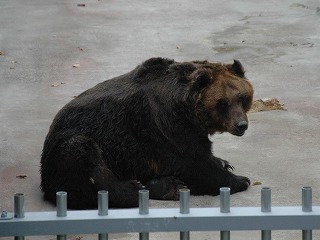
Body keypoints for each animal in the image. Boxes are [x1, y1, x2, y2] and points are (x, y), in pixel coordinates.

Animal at [40, 57, 254, 208]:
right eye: (223, 103)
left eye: (242, 97)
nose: (241, 125)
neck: (190, 110)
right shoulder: (170, 127)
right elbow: (196, 164)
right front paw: (240, 180)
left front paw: (224, 162)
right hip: (73, 145)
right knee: (84, 157)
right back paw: (135, 189)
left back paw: (167, 186)